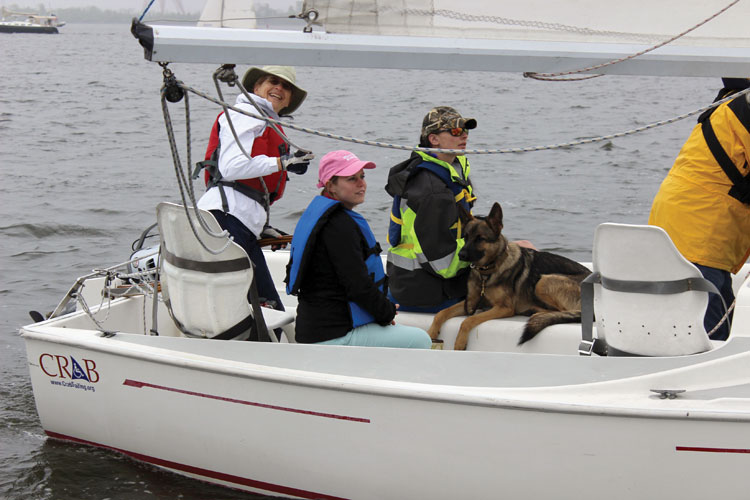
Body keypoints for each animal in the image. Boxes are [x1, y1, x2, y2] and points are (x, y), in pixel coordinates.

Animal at [428, 201, 592, 350]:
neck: (487, 273)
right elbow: (442, 313)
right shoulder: (471, 303)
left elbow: (468, 320)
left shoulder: (504, 308)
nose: (460, 255)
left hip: (544, 282)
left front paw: (460, 342)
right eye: (466, 237)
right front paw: (431, 332)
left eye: (480, 238)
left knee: (563, 312)